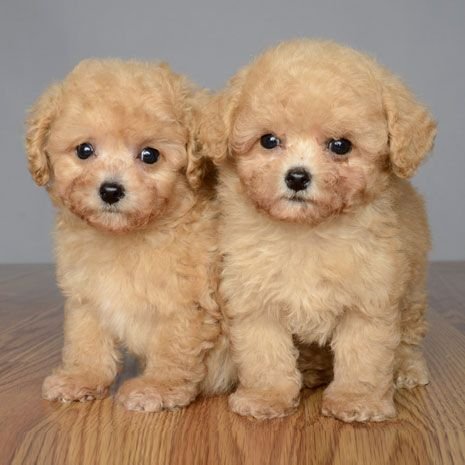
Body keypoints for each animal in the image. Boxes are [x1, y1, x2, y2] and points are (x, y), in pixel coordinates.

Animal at [25, 59, 219, 412]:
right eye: (84, 150)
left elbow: (173, 346)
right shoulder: (88, 295)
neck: (127, 236)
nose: (111, 191)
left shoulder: (185, 301)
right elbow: (86, 339)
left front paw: (157, 387)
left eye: (150, 155)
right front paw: (81, 378)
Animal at [199, 40, 436, 422]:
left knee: (408, 336)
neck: (306, 232)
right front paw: (266, 397)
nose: (297, 177)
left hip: (412, 291)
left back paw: (407, 368)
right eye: (268, 141)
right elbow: (265, 355)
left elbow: (364, 356)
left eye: (340, 146)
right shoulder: (254, 299)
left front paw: (357, 401)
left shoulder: (369, 299)